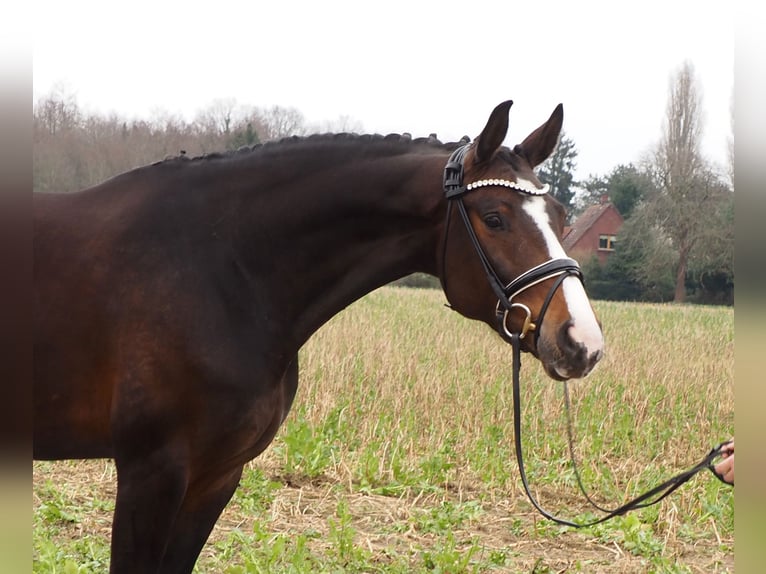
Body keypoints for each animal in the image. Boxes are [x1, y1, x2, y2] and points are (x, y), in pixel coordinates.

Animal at [34, 103, 608, 574]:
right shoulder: (151, 472)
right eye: (494, 218)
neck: (219, 267)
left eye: (560, 216)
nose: (580, 341)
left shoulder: (216, 475)